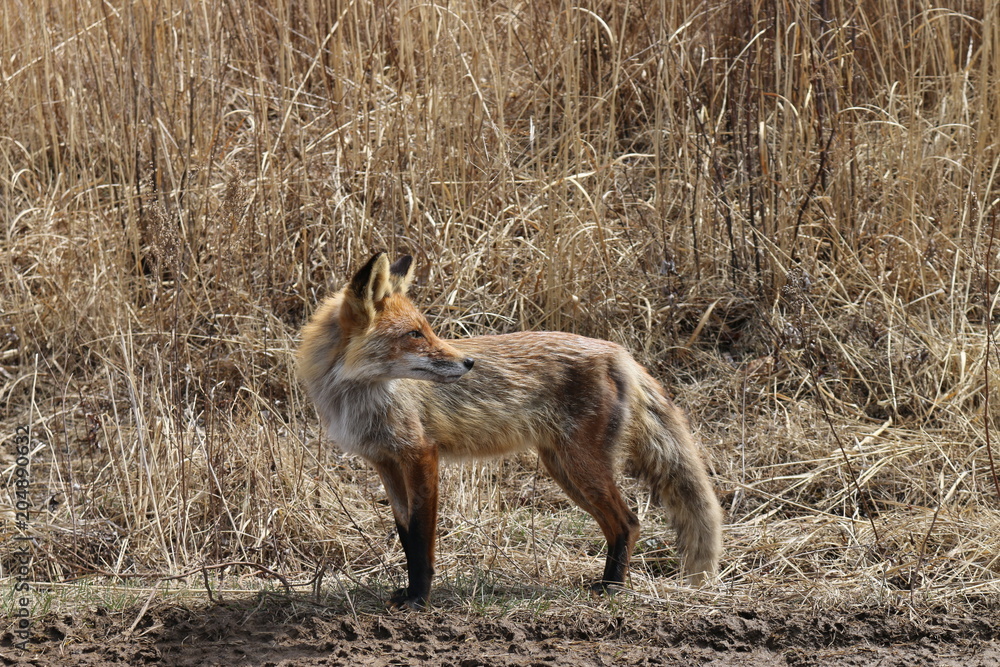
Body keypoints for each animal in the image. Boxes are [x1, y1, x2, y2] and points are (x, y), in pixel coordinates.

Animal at [297, 252, 723, 609]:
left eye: (426, 330)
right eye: (414, 334)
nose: (469, 363)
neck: (359, 397)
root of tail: (620, 353)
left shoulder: (421, 455)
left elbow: (421, 538)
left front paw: (419, 598)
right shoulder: (386, 462)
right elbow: (405, 533)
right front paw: (409, 592)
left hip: (581, 468)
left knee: (630, 522)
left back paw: (612, 588)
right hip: (565, 469)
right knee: (622, 525)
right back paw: (607, 583)